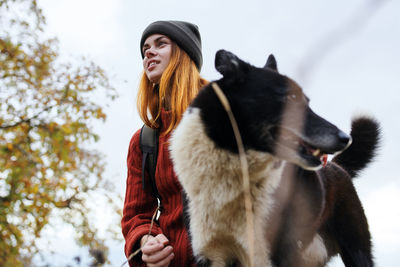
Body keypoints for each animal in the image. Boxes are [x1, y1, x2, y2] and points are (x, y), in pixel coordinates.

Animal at [170, 50, 382, 267]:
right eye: (290, 98)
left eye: (307, 102)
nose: (345, 138)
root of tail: (336, 167)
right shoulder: (211, 255)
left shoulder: (271, 256)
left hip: (355, 251)